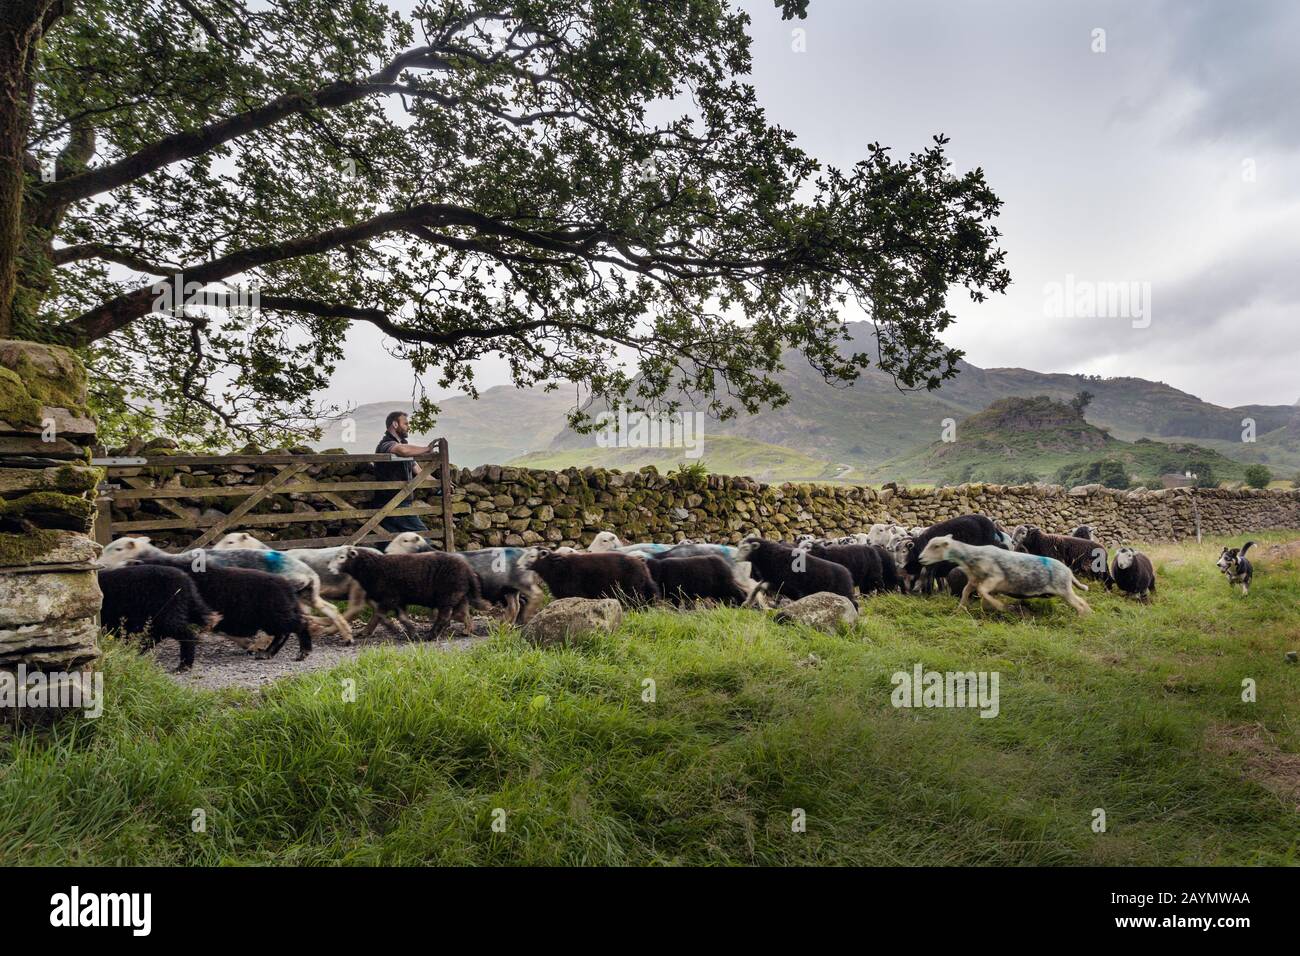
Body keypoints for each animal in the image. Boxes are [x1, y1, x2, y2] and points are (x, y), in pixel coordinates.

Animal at [98, 538, 351, 642]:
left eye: (118, 548)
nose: (99, 564)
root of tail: (307, 573)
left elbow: (220, 625)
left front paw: (246, 642)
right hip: (307, 594)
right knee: (328, 609)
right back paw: (343, 633)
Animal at [327, 548, 486, 639]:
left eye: (341, 557)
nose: (329, 569)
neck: (372, 567)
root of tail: (468, 570)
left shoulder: (389, 597)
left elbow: (379, 615)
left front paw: (391, 629)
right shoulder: (398, 599)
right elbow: (401, 617)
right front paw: (411, 631)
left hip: (448, 594)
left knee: (445, 616)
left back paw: (431, 635)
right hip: (458, 595)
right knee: (464, 613)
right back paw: (467, 630)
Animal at [520, 546, 655, 606]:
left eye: (531, 556)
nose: (519, 565)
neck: (556, 567)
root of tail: (642, 565)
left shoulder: (575, 593)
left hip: (633, 591)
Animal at [920, 535, 1092, 616]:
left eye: (936, 546)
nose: (920, 558)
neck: (971, 556)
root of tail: (1068, 571)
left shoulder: (995, 578)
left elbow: (983, 592)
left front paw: (999, 606)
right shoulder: (974, 580)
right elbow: (965, 592)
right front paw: (959, 610)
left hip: (1063, 590)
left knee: (1079, 604)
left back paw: (1081, 618)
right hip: (1065, 590)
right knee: (1082, 602)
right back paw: (1090, 614)